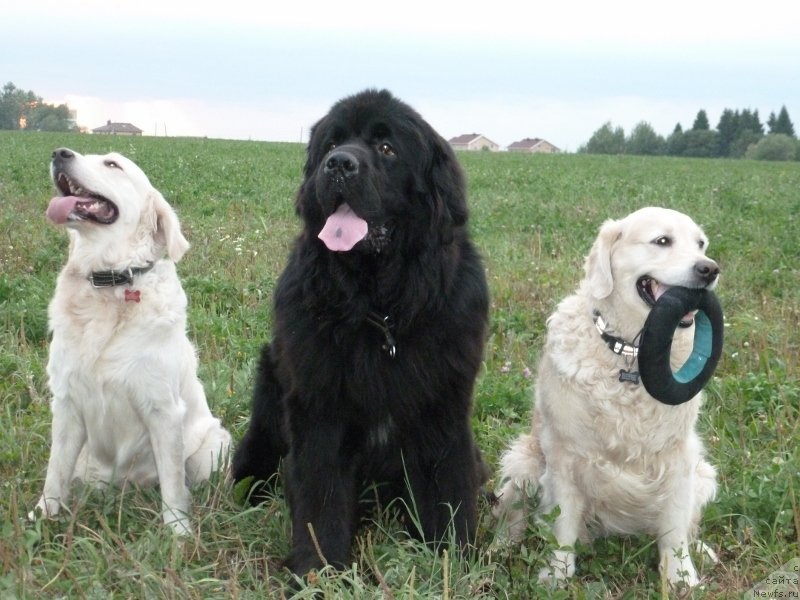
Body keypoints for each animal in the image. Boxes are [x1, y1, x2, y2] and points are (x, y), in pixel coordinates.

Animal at [30, 148, 230, 532]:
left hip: (213, 449)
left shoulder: (162, 409)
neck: (110, 281)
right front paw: (43, 515)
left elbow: (173, 484)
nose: (59, 153)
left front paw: (178, 532)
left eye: (112, 164)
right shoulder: (66, 404)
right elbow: (54, 472)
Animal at [233, 90, 488, 576]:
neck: (380, 311)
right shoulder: (320, 410)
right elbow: (321, 499)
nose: (338, 165)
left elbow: (448, 492)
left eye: (386, 148)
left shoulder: (442, 410)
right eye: (332, 144)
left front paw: (454, 563)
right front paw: (317, 571)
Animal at [496, 206, 720, 584]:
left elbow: (675, 527)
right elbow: (563, 521)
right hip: (523, 464)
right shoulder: (565, 455)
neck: (630, 354)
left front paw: (681, 577)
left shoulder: (679, 457)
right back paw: (501, 546)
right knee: (513, 514)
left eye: (701, 244)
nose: (709, 269)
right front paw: (557, 575)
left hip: (703, 474)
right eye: (663, 241)